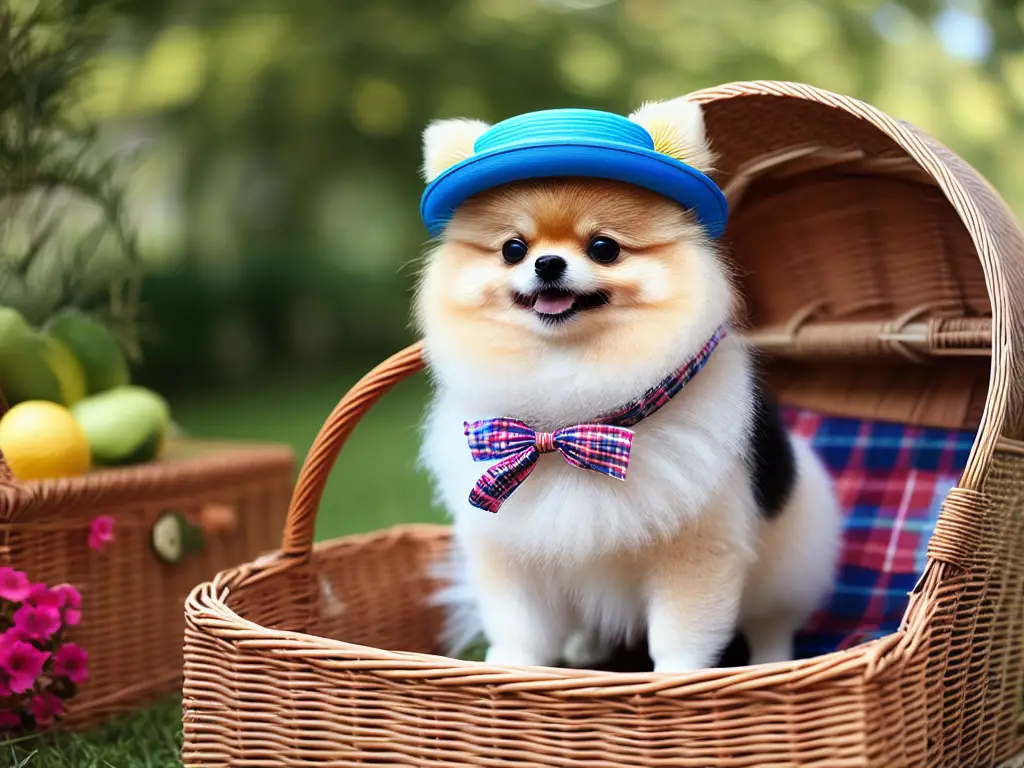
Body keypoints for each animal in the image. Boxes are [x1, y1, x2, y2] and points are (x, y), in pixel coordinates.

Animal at [411, 96, 843, 671]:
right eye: (512, 249)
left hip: (788, 563)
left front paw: (676, 680)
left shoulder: (698, 551)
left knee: (772, 622)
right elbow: (521, 633)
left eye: (603, 247)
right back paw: (584, 649)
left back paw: (770, 663)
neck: (568, 416)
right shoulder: (511, 553)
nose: (547, 262)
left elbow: (681, 639)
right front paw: (507, 669)